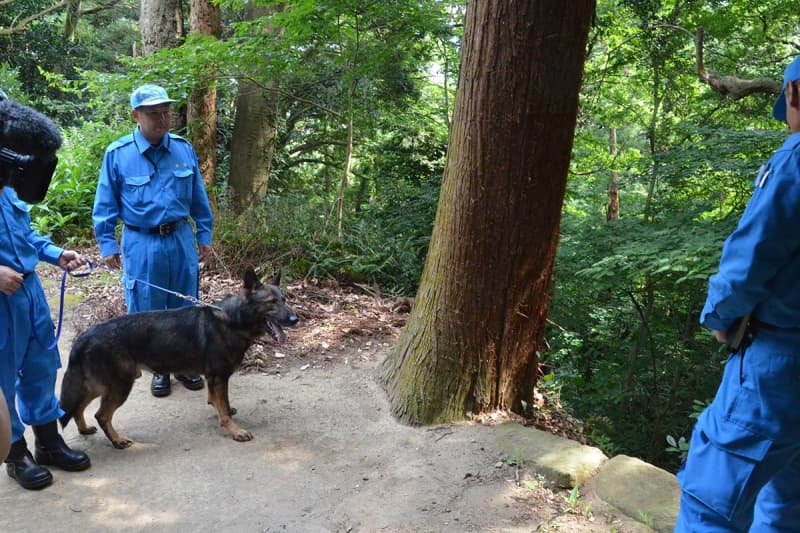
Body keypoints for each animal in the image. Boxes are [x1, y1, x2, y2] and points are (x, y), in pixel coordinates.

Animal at [58, 268, 296, 446]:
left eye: (284, 300)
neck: (234, 319)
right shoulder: (219, 377)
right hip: (119, 386)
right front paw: (234, 430)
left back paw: (84, 429)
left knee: (77, 407)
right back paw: (117, 440)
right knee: (101, 415)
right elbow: (223, 408)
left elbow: (219, 402)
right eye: (271, 302)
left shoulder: (216, 378)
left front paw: (223, 411)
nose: (296, 319)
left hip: (98, 385)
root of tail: (86, 335)